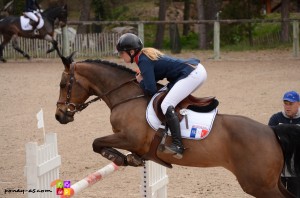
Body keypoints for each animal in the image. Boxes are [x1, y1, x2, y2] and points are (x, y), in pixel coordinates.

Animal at [54, 53, 300, 198]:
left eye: (63, 84)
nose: (59, 116)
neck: (126, 97)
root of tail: (271, 131)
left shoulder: (130, 138)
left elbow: (96, 143)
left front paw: (121, 158)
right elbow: (99, 144)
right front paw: (130, 159)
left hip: (259, 185)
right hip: (270, 183)